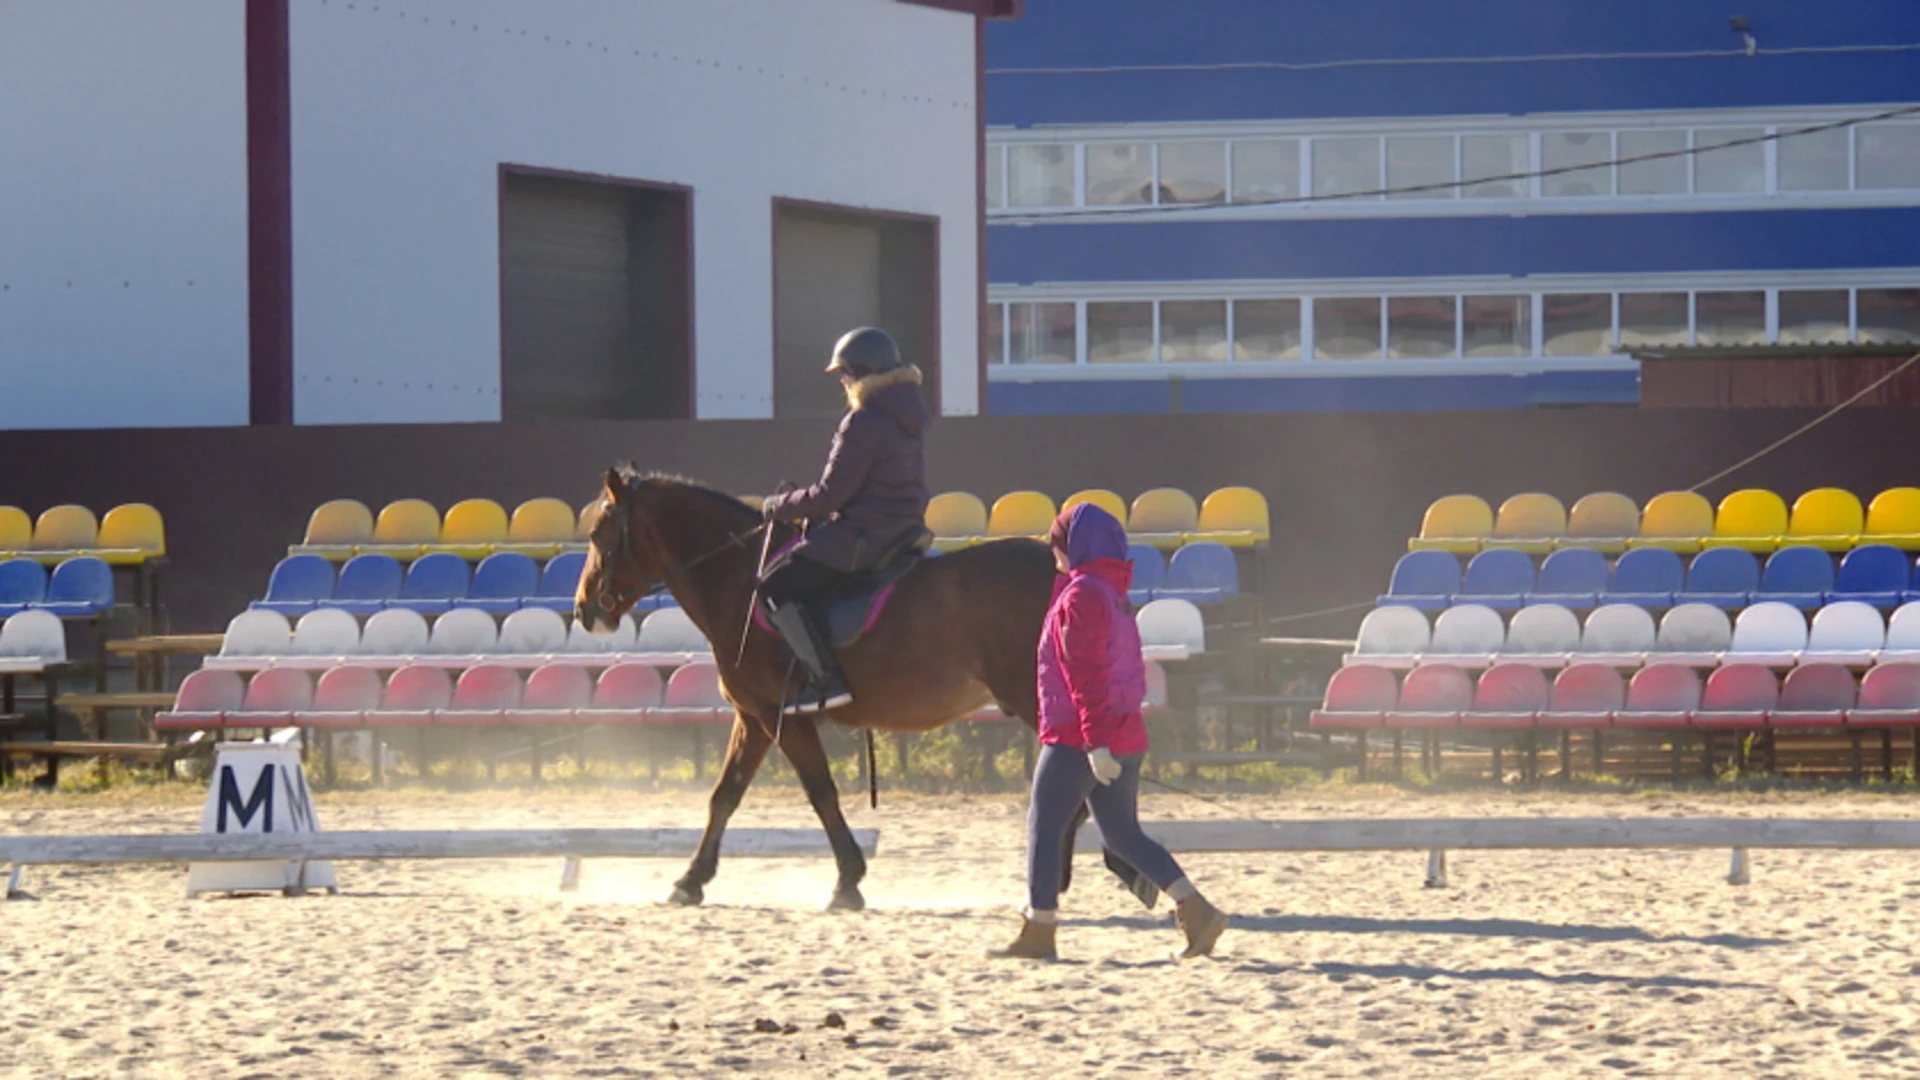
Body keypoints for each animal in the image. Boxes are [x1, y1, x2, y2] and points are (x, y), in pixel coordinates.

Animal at [568, 465, 1136, 907]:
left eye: (598, 536)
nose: (584, 610)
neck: (738, 582)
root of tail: (1068, 571)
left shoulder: (783, 717)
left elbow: (821, 791)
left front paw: (847, 882)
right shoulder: (754, 717)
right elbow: (724, 794)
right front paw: (690, 881)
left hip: (1035, 699)